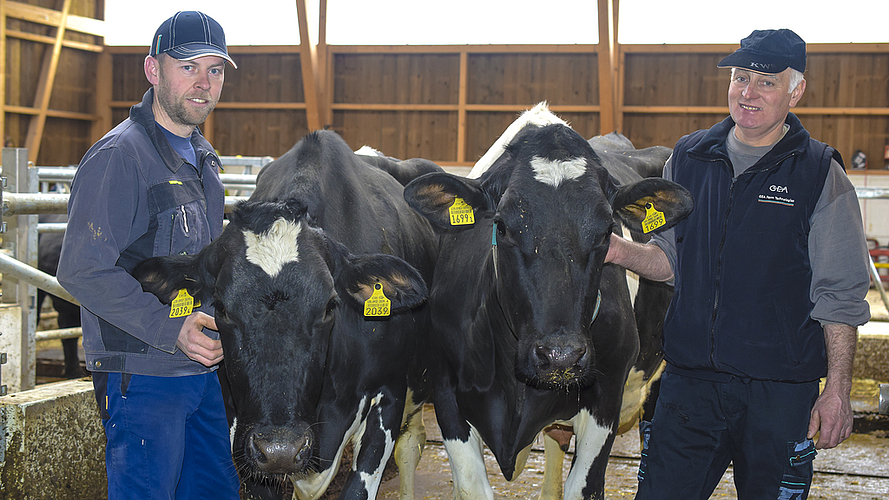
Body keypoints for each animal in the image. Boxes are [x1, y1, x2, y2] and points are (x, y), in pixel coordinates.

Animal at [133, 130, 438, 500]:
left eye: (329, 306)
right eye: (220, 307)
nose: (282, 448)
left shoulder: (389, 395)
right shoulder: (241, 426)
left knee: (411, 443)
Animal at [402, 102, 692, 500]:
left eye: (607, 231)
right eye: (501, 225)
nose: (561, 356)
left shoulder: (605, 398)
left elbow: (583, 486)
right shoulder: (446, 391)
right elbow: (472, 484)